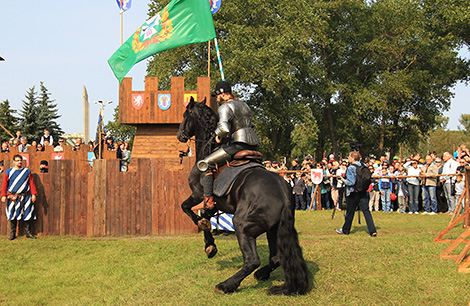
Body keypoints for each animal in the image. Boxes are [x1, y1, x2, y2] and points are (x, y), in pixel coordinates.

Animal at [176, 97, 308, 294]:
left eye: (186, 115)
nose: (180, 135)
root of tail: (283, 194)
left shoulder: (198, 194)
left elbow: (187, 208)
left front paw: (205, 234)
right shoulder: (216, 204)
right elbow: (206, 215)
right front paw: (209, 244)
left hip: (243, 225)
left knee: (252, 261)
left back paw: (226, 285)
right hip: (273, 229)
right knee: (275, 258)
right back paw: (261, 274)